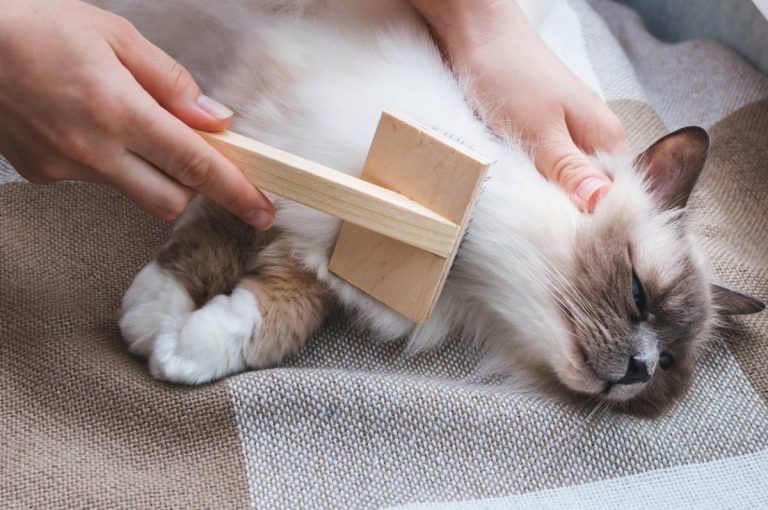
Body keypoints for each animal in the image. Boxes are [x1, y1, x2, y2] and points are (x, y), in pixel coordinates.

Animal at [111, 0, 764, 418]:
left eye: (670, 363)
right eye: (636, 295)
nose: (639, 369)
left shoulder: (336, 255)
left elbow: (278, 310)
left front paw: (183, 348)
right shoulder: (263, 126)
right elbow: (208, 235)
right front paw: (150, 316)